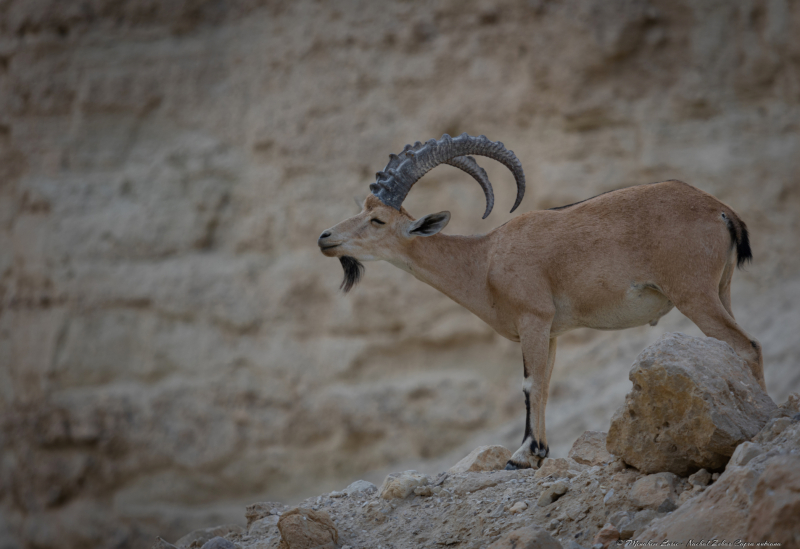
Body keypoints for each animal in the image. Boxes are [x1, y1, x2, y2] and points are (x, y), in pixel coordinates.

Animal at [318, 133, 763, 469]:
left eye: (377, 220)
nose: (325, 238)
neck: (484, 259)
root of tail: (721, 211)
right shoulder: (551, 331)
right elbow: (546, 383)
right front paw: (539, 451)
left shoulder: (533, 318)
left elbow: (530, 384)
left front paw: (522, 455)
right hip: (720, 290)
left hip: (694, 294)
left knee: (748, 345)